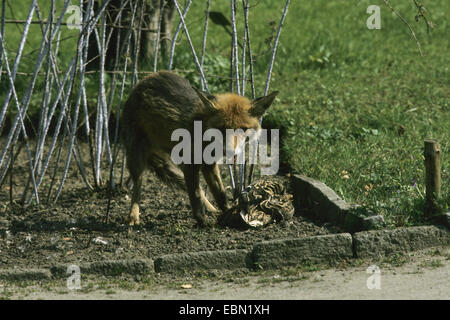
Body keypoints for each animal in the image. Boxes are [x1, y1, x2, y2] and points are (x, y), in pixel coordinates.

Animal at [119, 71, 276, 226]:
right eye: (222, 128)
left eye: (243, 129)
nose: (231, 151)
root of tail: (143, 80)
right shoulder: (190, 163)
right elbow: (194, 196)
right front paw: (202, 221)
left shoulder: (208, 165)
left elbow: (219, 194)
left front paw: (227, 213)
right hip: (137, 158)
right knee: (136, 187)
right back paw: (133, 216)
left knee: (196, 188)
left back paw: (212, 209)